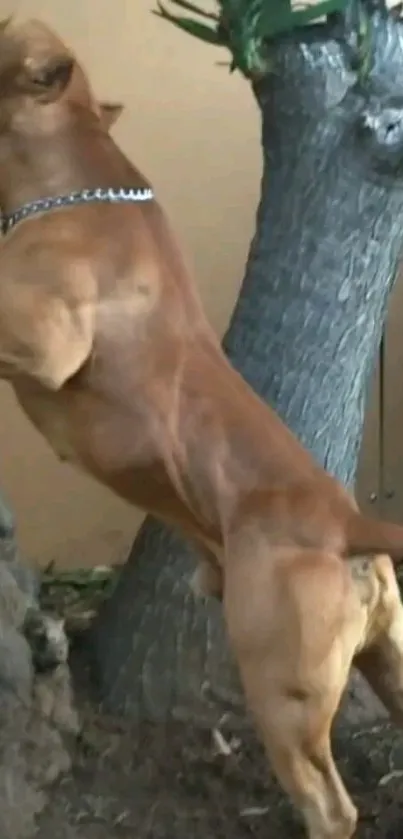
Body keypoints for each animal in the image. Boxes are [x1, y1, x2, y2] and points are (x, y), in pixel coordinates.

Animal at [0, 18, 403, 839]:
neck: (71, 166)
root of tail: (350, 528)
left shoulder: (44, 338)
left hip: (281, 697)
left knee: (330, 805)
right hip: (391, 661)